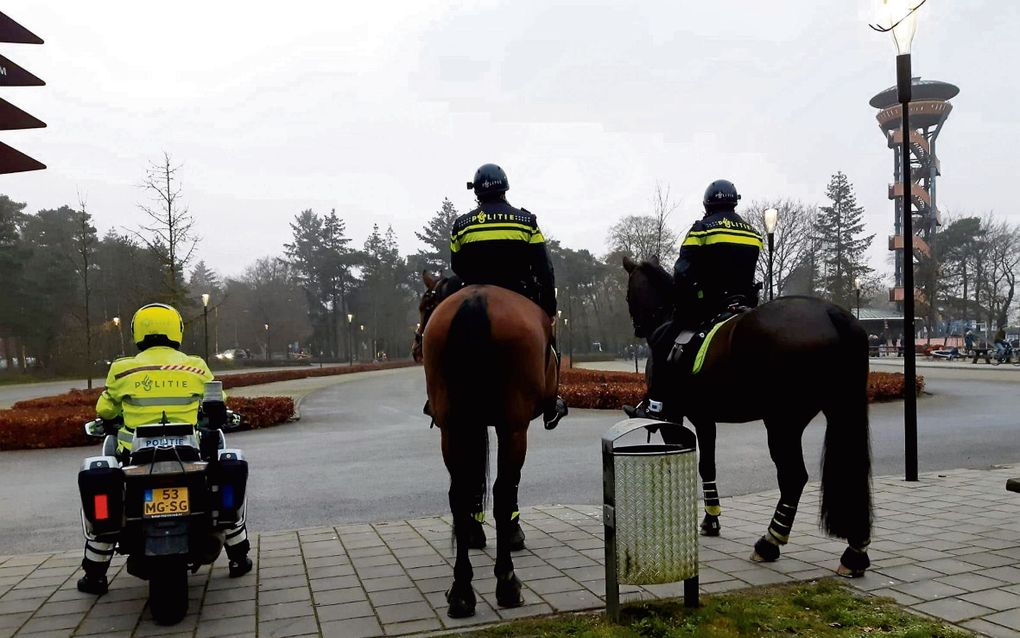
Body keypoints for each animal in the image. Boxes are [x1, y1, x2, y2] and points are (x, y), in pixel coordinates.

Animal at [412, 269, 558, 616]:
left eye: (426, 306)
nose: (415, 348)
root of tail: (476, 301)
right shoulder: (511, 427)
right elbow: (505, 485)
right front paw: (513, 535)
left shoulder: (472, 425)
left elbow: (474, 482)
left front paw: (473, 532)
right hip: (513, 426)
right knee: (503, 491)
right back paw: (506, 582)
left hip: (453, 427)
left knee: (459, 493)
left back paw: (461, 590)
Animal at [620, 255, 877, 575]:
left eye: (628, 293)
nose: (637, 327)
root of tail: (830, 313)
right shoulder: (705, 418)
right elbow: (707, 466)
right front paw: (711, 519)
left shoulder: (674, 417)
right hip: (839, 410)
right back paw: (855, 551)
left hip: (782, 422)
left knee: (793, 477)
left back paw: (770, 542)